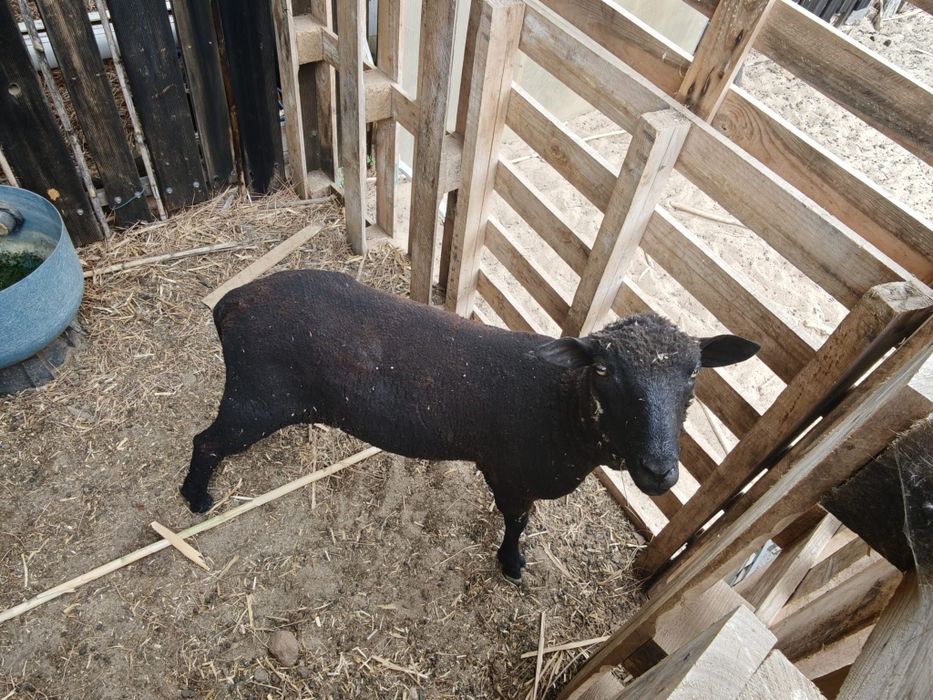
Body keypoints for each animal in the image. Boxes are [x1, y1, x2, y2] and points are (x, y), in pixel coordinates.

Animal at [180, 269, 759, 582]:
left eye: (694, 373)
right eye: (602, 371)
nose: (660, 472)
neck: (560, 406)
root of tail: (231, 303)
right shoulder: (509, 473)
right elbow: (517, 521)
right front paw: (512, 562)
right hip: (256, 400)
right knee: (206, 441)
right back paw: (196, 498)